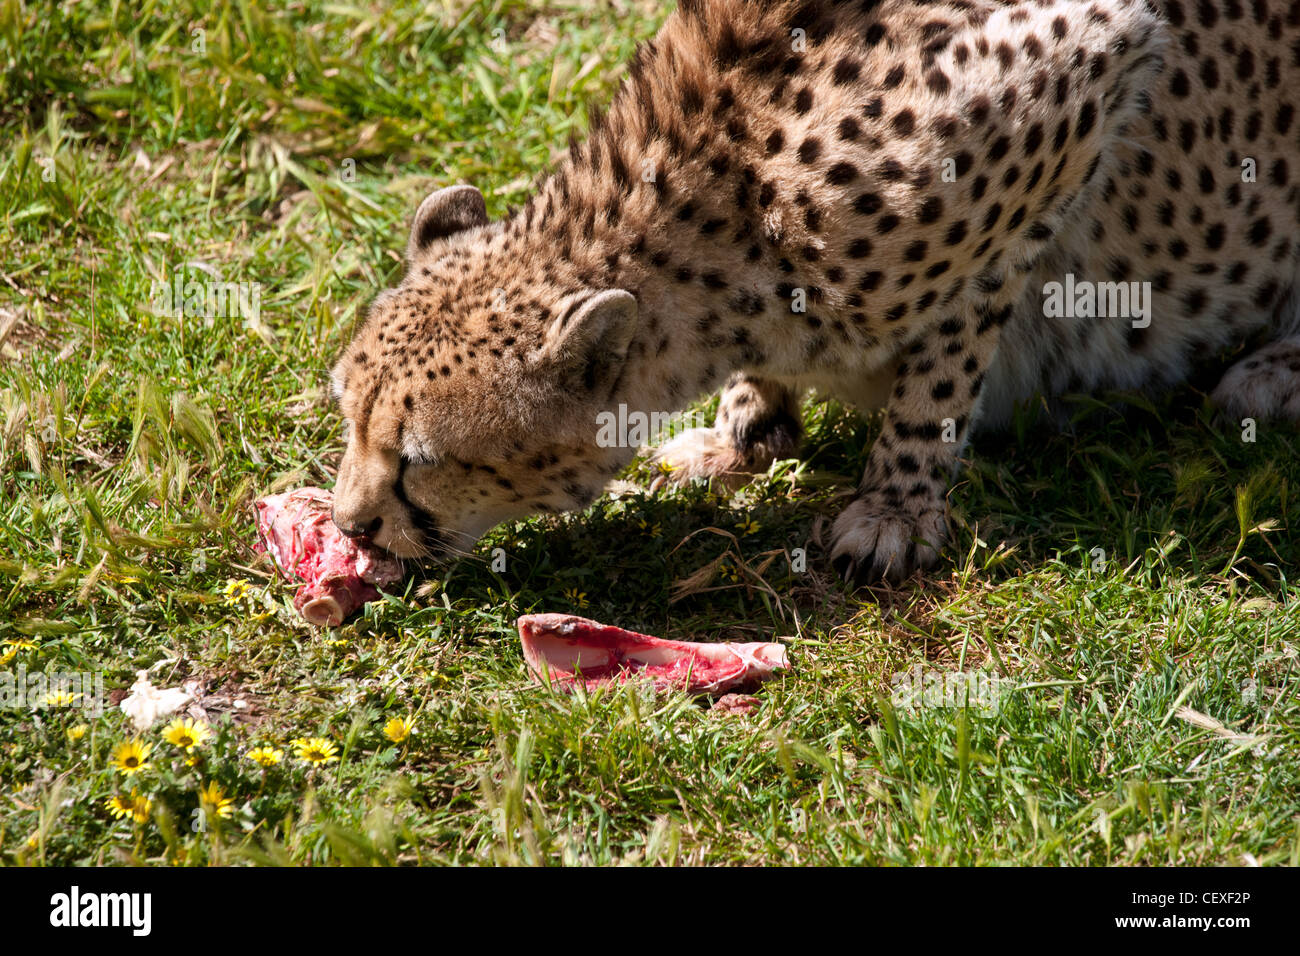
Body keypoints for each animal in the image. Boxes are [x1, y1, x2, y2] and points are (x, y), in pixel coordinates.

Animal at [327, 0, 1300, 582]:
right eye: (346, 417)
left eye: (420, 460)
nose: (348, 528)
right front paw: (747, 431)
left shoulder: (1080, 78)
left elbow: (952, 351)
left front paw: (894, 506)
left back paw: (1271, 372)